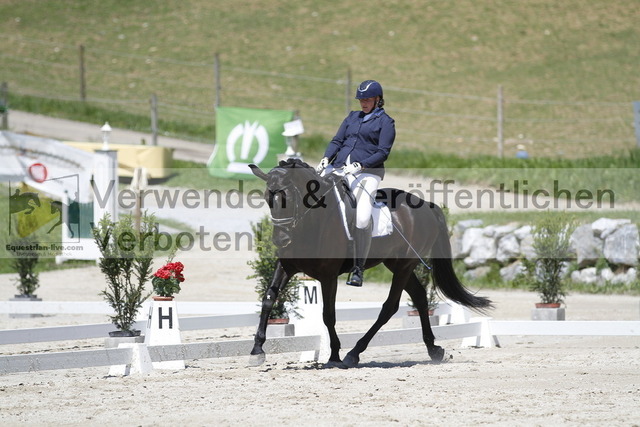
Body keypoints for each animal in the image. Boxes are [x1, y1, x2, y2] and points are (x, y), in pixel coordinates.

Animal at [248, 158, 492, 368]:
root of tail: (426, 205)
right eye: (268, 199)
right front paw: (257, 351)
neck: (312, 223)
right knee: (420, 296)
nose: (281, 241)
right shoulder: (286, 267)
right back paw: (434, 349)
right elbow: (268, 299)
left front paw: (334, 355)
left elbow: (328, 314)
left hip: (404, 266)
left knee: (389, 307)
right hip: (397, 264)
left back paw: (353, 354)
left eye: (289, 199)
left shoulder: (328, 275)